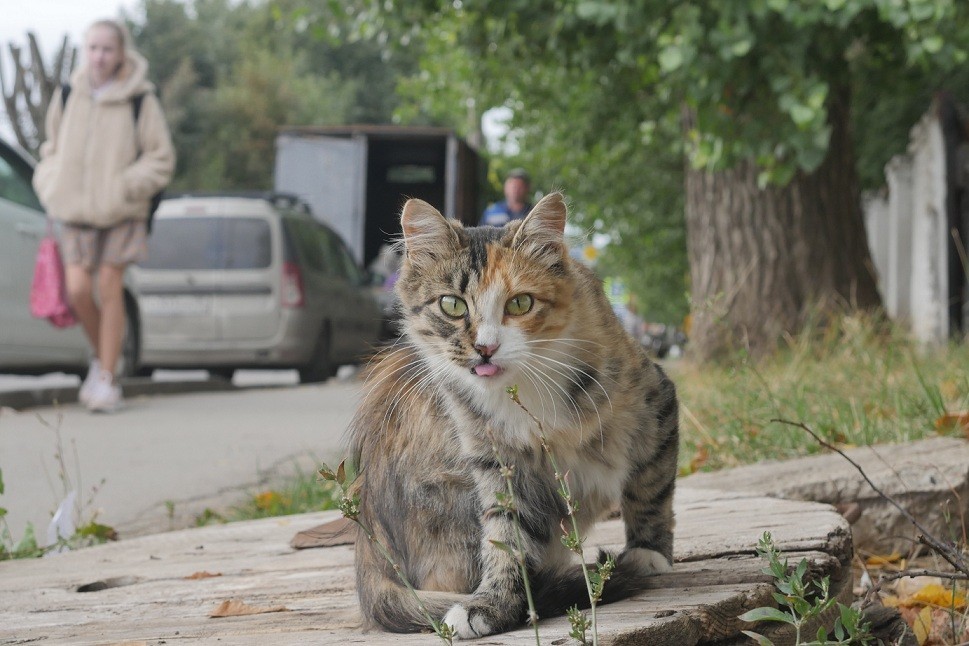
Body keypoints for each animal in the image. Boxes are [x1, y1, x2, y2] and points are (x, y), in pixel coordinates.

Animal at [350, 191, 680, 636]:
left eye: (520, 303)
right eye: (452, 305)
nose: (485, 348)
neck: (524, 388)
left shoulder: (656, 402)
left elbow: (650, 488)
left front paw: (649, 552)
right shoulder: (497, 460)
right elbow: (505, 536)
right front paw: (492, 604)